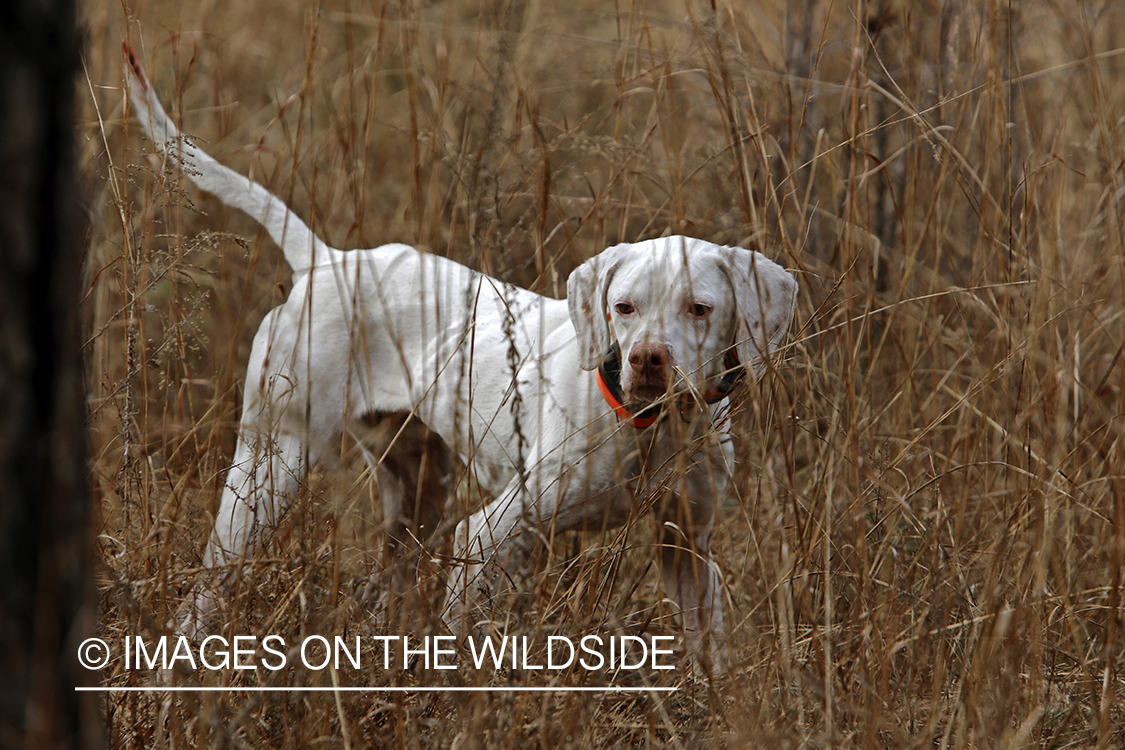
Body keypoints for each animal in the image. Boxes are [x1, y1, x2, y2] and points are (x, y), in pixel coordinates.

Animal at [125, 46, 792, 670]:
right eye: (623, 308)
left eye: (699, 309)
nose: (648, 361)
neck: (655, 429)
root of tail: (325, 259)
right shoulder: (491, 534)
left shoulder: (689, 548)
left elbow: (709, 657)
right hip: (268, 473)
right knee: (203, 594)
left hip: (417, 489)